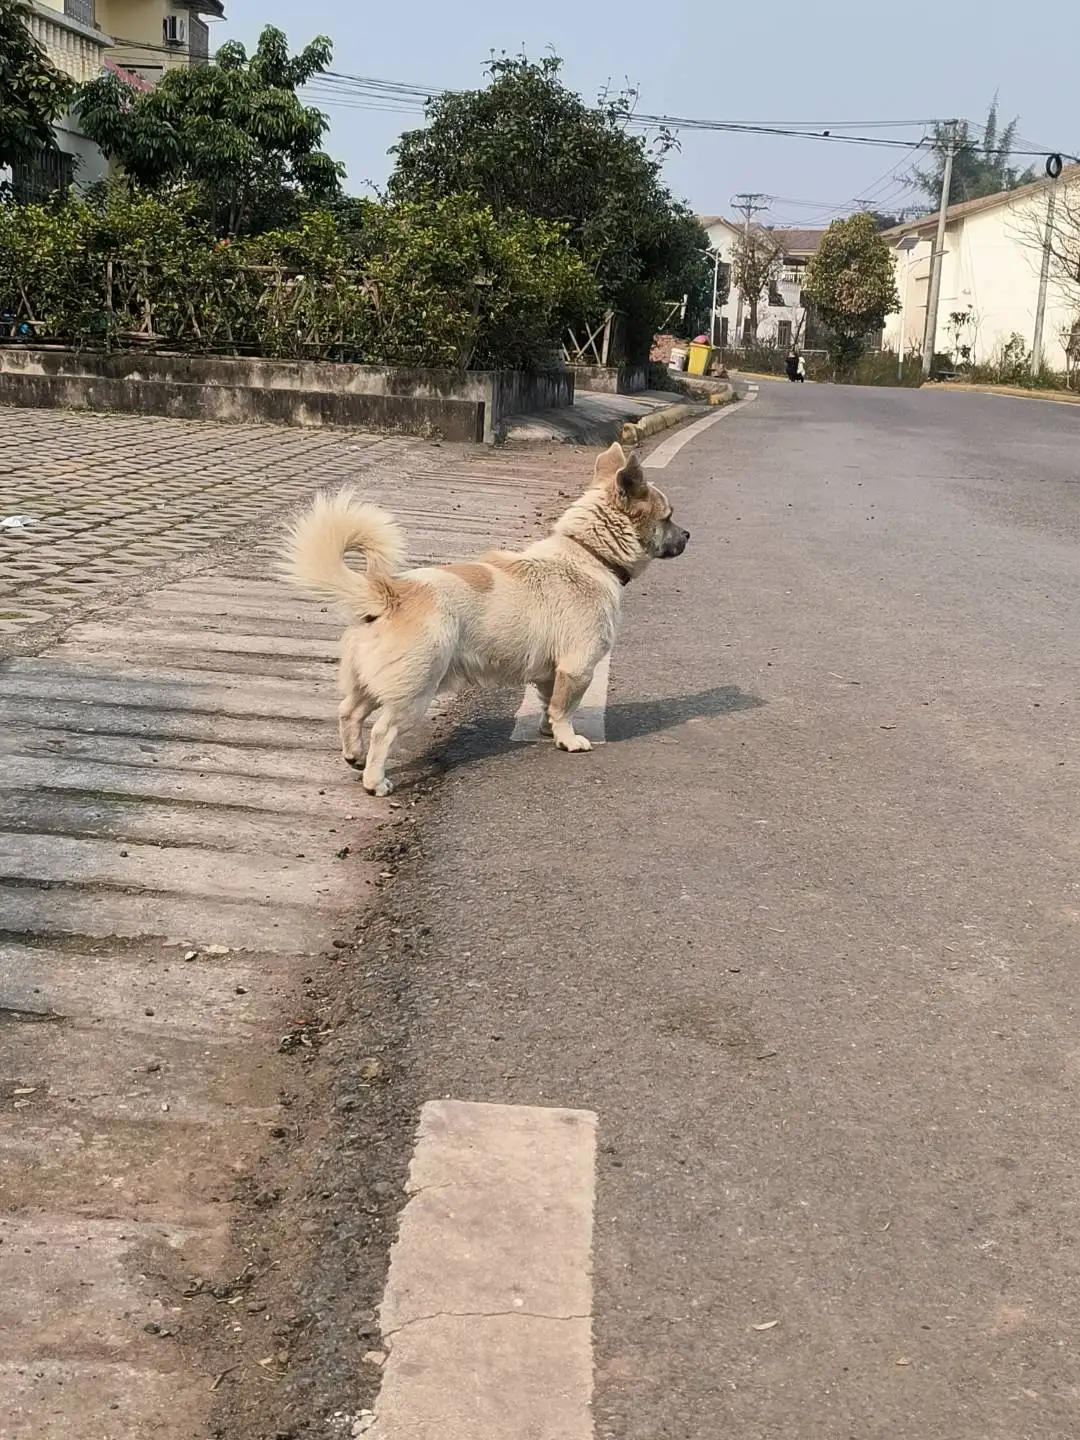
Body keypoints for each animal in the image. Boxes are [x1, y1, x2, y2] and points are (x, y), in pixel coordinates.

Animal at [283, 443, 688, 794]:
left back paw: (354, 756)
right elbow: (564, 708)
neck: (587, 553)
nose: (687, 534)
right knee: (382, 731)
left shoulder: (550, 672)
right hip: (414, 692)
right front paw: (568, 739)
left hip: (375, 681)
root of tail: (390, 592)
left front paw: (548, 731)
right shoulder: (577, 668)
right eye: (668, 518)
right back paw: (375, 781)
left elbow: (548, 704)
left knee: (349, 711)